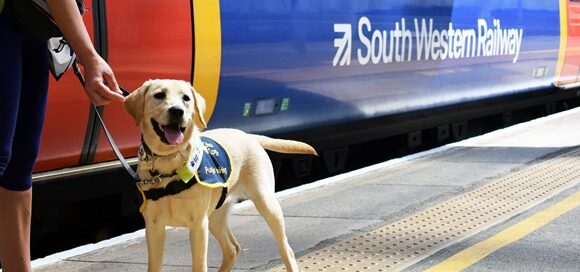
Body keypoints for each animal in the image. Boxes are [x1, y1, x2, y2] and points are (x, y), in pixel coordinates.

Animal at [122, 79, 312, 272]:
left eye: (186, 98)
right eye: (159, 95)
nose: (177, 111)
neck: (170, 162)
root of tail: (247, 135)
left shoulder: (198, 225)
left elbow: (199, 265)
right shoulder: (154, 228)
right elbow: (154, 266)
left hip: (266, 203)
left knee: (285, 248)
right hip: (215, 216)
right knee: (232, 249)